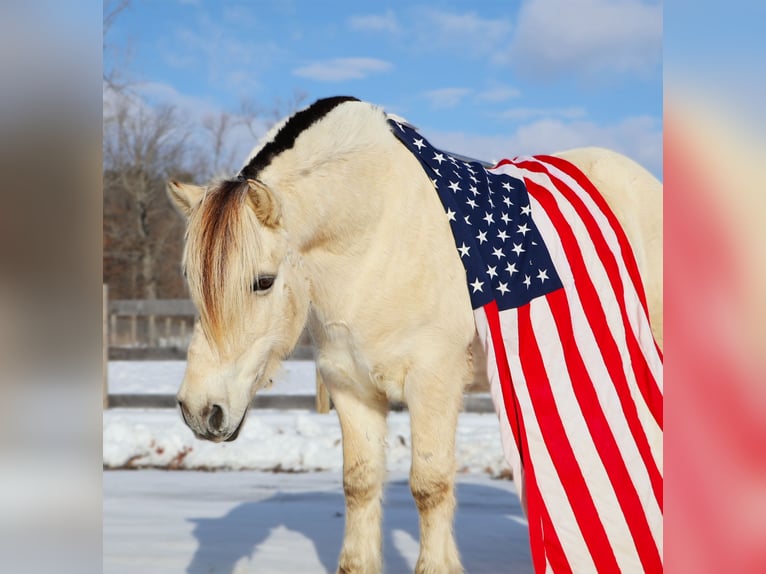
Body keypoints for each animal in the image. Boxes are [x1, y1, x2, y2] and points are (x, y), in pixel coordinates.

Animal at [167, 96, 662, 574]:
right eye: (190, 278)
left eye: (263, 281)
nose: (200, 411)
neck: (374, 237)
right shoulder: (351, 387)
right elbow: (359, 484)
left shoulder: (433, 383)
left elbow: (430, 485)